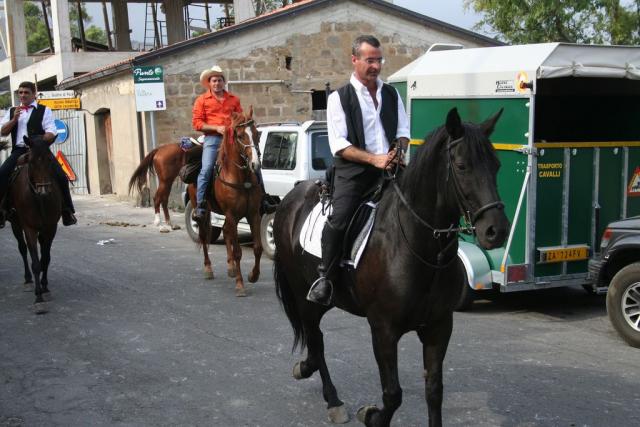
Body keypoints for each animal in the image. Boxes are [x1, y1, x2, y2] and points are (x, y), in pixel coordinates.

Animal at [8, 135, 63, 314]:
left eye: (50, 160)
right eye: (31, 162)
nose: (44, 191)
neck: (39, 201)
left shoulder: (50, 228)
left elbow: (45, 259)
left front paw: (45, 290)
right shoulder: (29, 228)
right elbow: (36, 263)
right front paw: (38, 299)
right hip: (15, 224)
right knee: (22, 249)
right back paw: (27, 280)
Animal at [187, 108, 264, 297]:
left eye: (256, 134)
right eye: (241, 135)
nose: (255, 165)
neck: (242, 178)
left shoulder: (253, 215)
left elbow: (257, 247)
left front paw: (253, 275)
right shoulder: (232, 215)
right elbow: (238, 252)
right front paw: (240, 285)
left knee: (225, 231)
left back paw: (231, 268)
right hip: (202, 211)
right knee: (204, 237)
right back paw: (208, 269)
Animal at [272, 108, 510, 426]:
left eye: (496, 165)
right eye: (461, 166)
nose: (497, 230)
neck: (418, 247)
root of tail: (290, 200)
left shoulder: (439, 327)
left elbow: (434, 390)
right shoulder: (383, 330)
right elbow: (393, 394)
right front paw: (372, 415)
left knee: (313, 337)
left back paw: (307, 368)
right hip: (304, 294)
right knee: (315, 337)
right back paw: (332, 399)